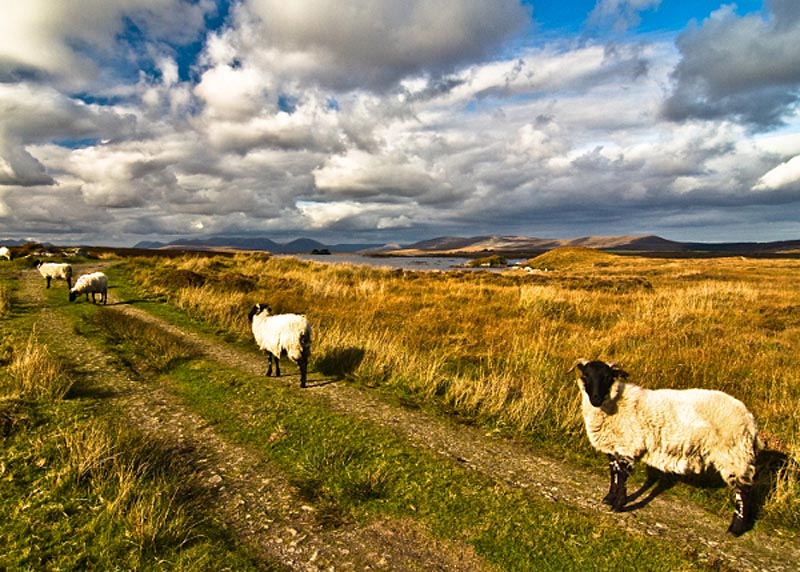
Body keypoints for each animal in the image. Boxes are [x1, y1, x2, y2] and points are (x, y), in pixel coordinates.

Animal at [572, 360, 760, 536]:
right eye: (586, 375)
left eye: (607, 377)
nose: (595, 399)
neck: (616, 402)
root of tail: (749, 418)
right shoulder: (614, 447)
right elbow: (614, 474)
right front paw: (608, 499)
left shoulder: (629, 446)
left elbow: (622, 477)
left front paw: (618, 505)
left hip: (734, 452)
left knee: (743, 490)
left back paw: (736, 529)